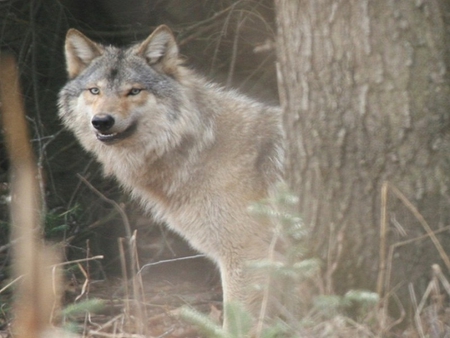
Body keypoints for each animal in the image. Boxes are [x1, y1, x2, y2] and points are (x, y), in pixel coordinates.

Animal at [59, 24, 284, 328]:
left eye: (134, 91)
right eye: (95, 90)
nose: (102, 121)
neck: (198, 147)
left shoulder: (244, 255)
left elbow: (237, 324)